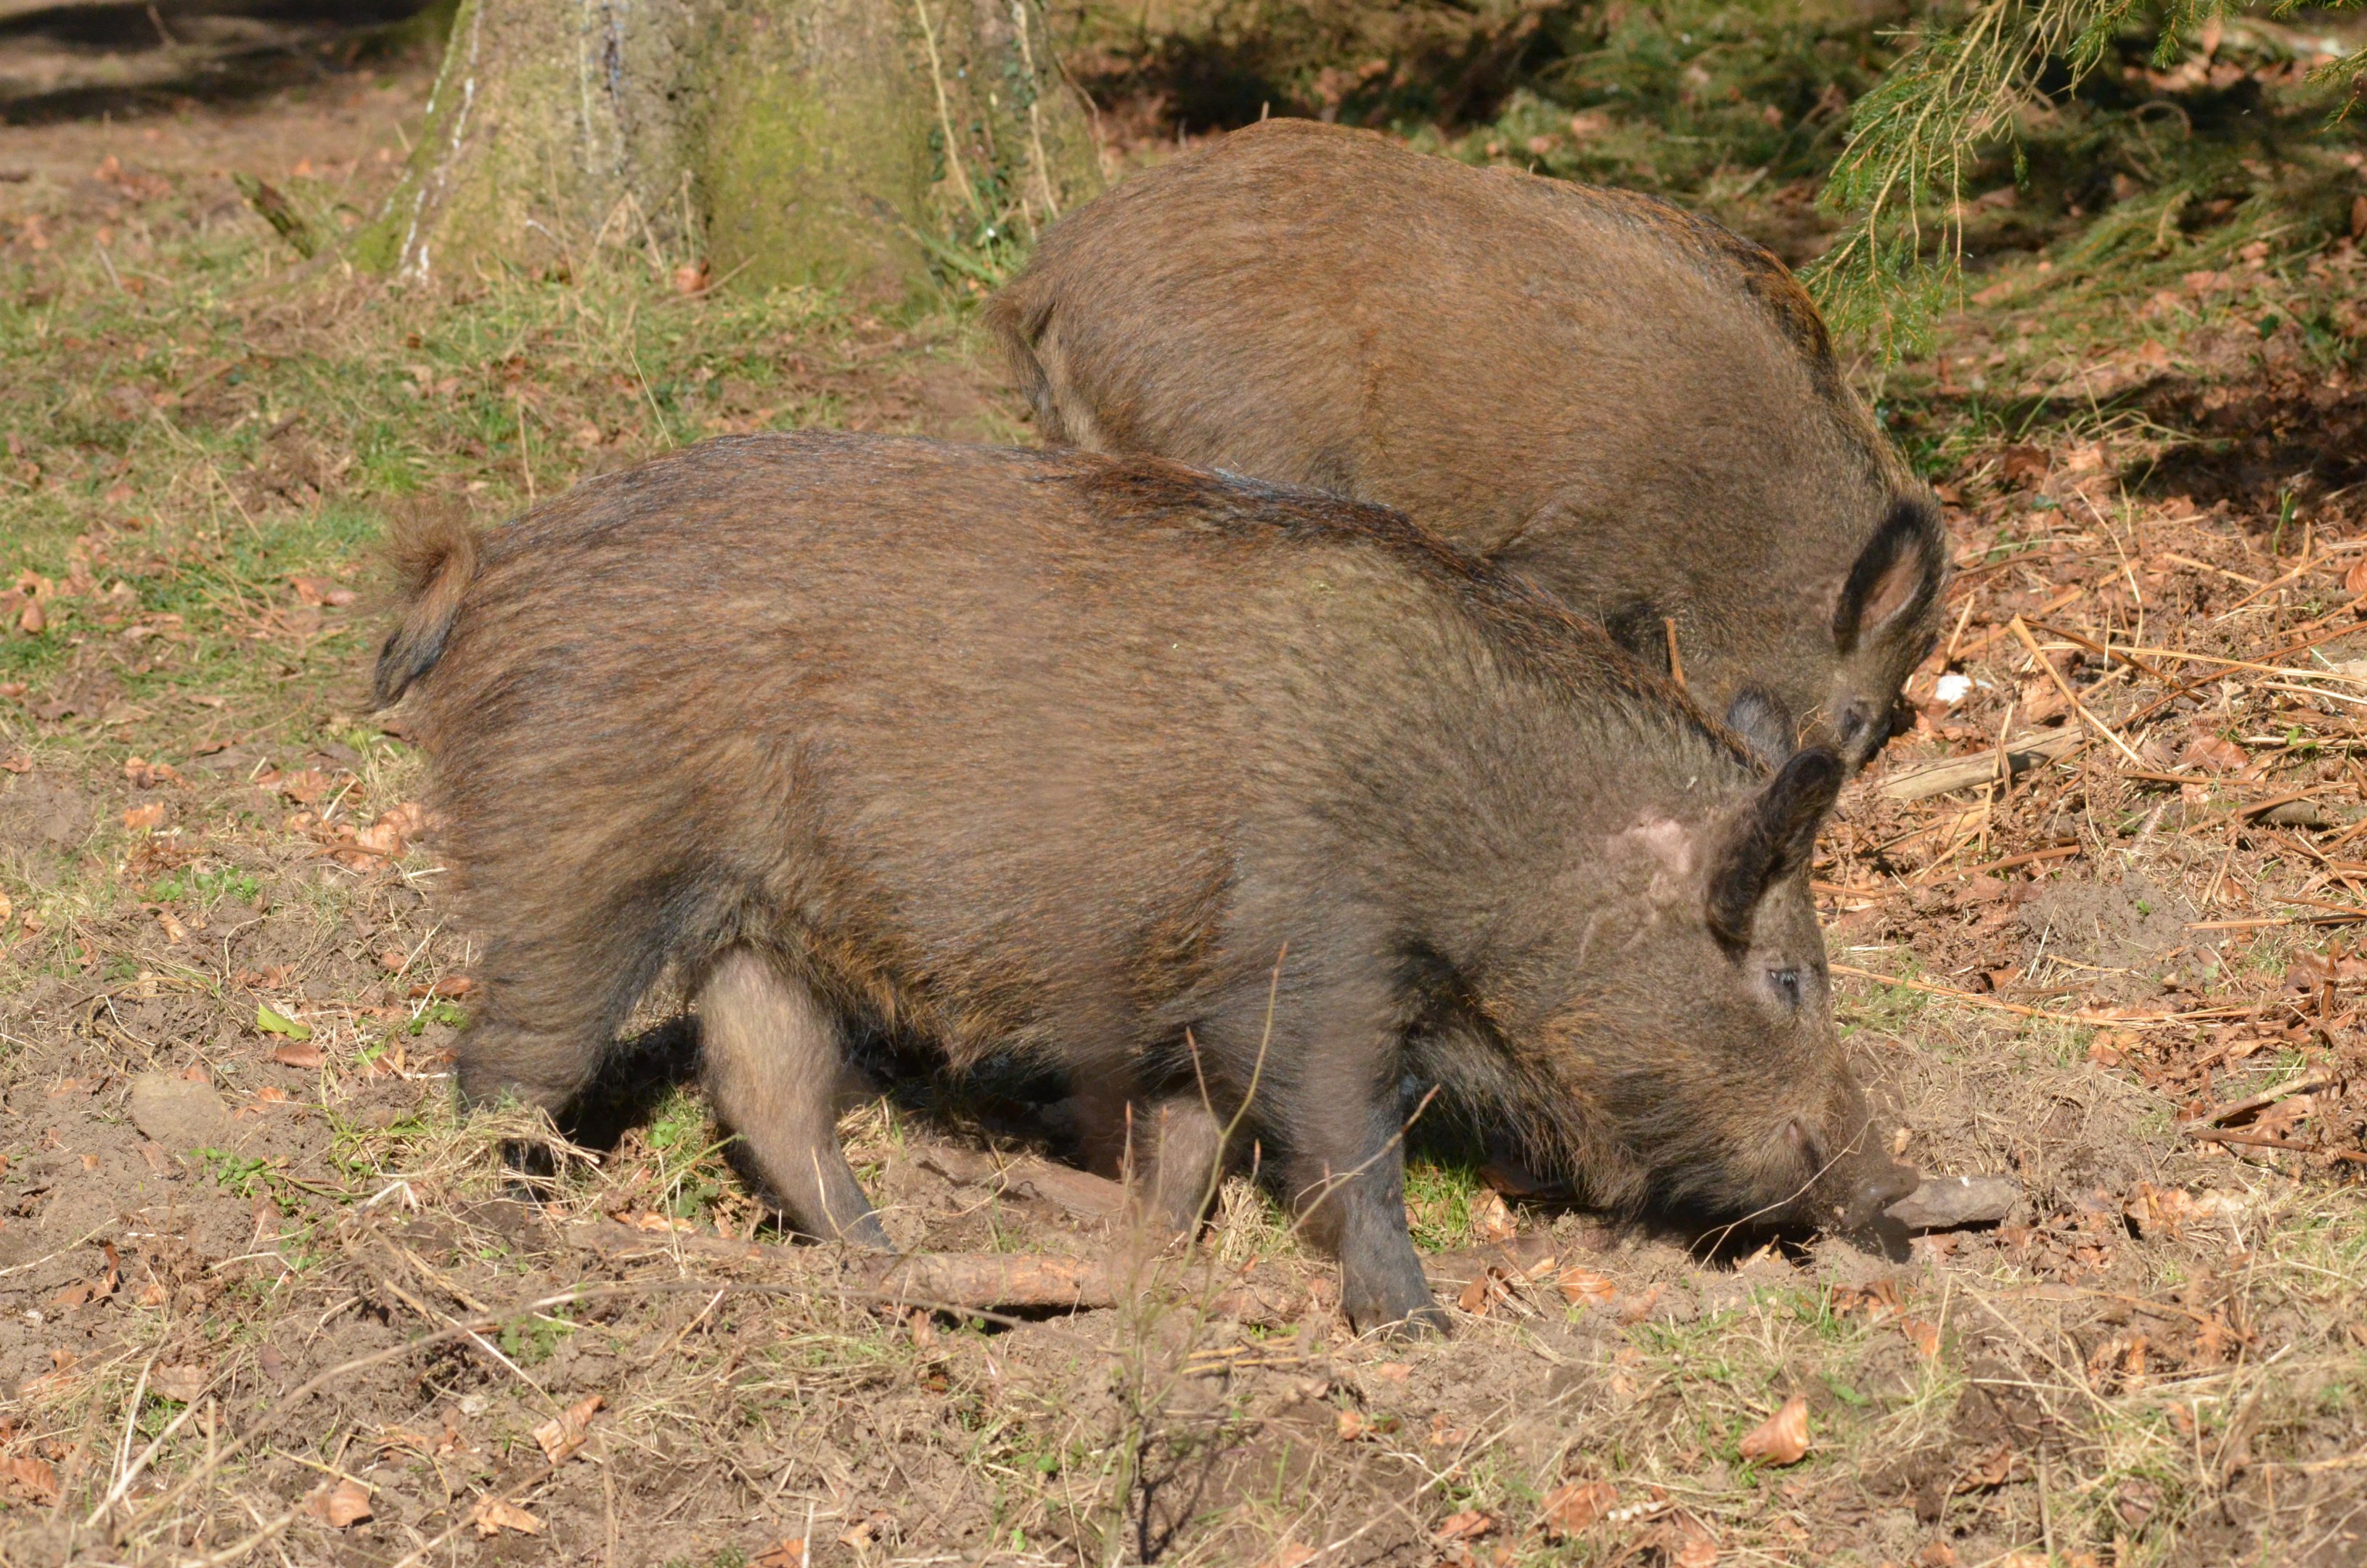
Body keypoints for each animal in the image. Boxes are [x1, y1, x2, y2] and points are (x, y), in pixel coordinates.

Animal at [374, 430, 1915, 1334]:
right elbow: (1345, 1156)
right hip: (578, 855)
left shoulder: (1200, 1007)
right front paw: (1420, 1331)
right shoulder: (1313, 978)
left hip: (769, 921)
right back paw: (500, 1235)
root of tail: (490, 564)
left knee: (766, 1091)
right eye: (1788, 975)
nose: (1892, 1201)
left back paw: (895, 1270)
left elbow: (1185, 1158)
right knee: (505, 1061)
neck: (1487, 832)